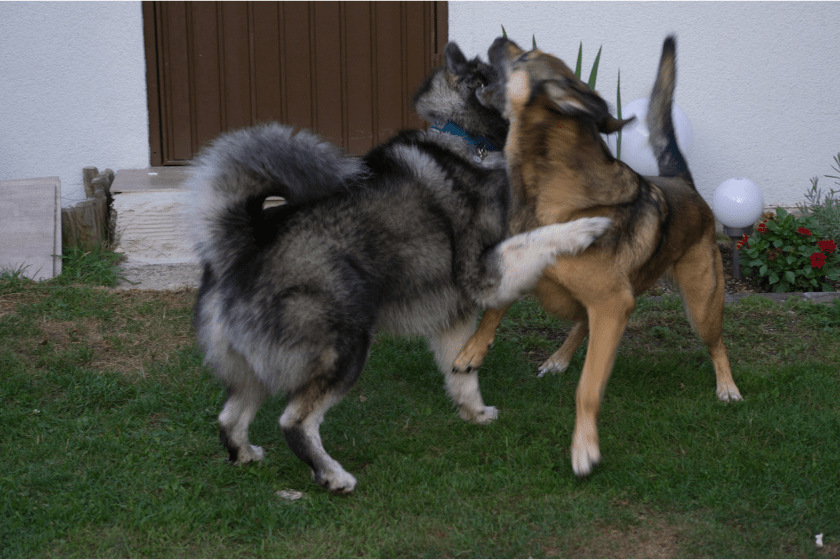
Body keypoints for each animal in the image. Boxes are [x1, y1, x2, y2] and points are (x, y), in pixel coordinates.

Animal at [452, 35, 740, 476]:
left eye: (525, 57)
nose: (499, 39)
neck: (550, 195)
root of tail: (683, 182)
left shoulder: (613, 303)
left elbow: (588, 386)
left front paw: (584, 446)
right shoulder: (524, 268)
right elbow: (494, 310)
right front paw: (472, 350)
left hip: (701, 304)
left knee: (716, 342)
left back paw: (727, 385)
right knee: (580, 324)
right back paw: (558, 358)